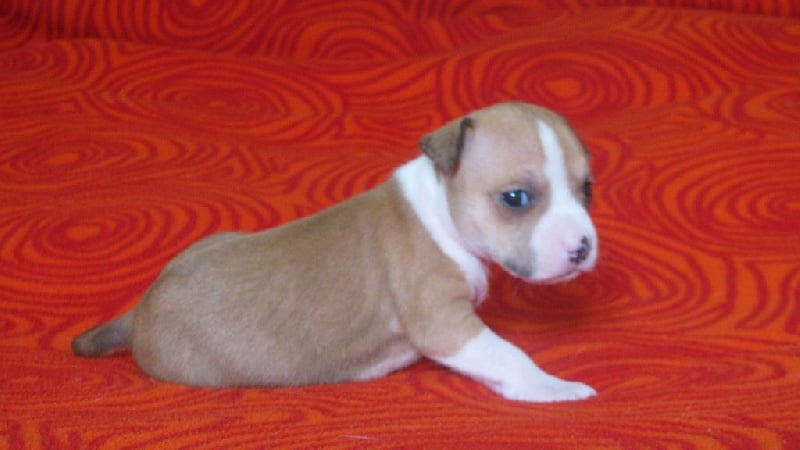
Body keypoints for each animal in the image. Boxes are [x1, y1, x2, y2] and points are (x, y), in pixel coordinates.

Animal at [73, 101, 598, 402]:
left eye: (587, 189)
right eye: (516, 198)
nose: (582, 247)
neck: (439, 207)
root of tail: (141, 310)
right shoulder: (445, 324)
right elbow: (508, 354)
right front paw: (553, 386)